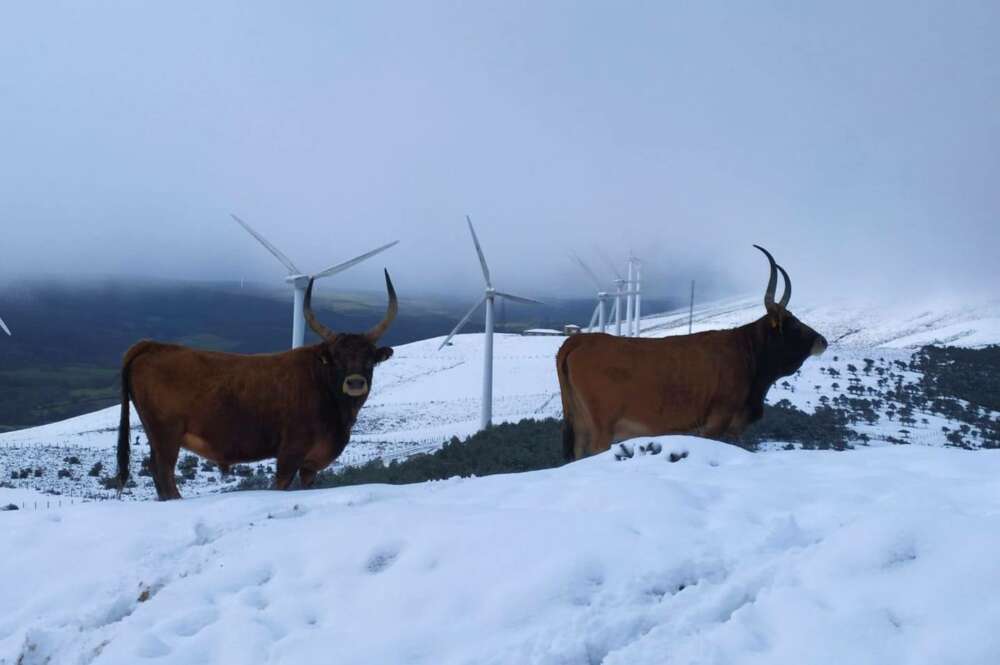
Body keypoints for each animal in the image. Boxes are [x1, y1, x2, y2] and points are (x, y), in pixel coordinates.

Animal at [118, 270, 398, 498]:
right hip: (166, 434)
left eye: (369, 359)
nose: (355, 382)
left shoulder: (311, 465)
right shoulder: (290, 453)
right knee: (164, 473)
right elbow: (280, 486)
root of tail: (152, 345)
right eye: (338, 359)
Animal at [556, 246, 828, 460]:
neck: (746, 353)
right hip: (601, 428)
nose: (822, 341)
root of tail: (581, 339)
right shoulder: (715, 425)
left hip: (580, 425)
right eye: (793, 323)